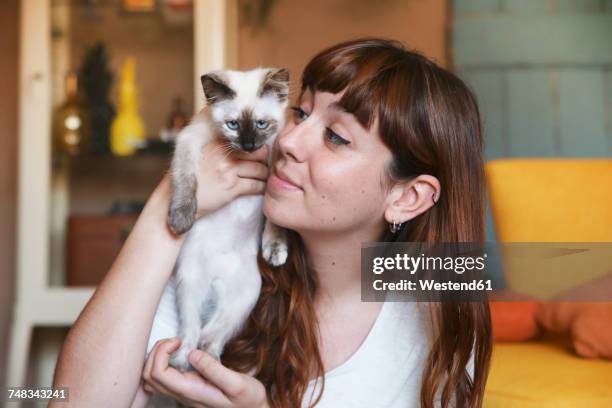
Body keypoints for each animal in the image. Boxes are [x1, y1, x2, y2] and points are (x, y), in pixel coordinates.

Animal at [149, 67, 292, 370]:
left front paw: (275, 249)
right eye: (233, 125)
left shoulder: (276, 165)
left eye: (261, 124)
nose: (249, 145)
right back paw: (182, 362)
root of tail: (216, 280)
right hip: (189, 286)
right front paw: (181, 219)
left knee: (212, 336)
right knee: (193, 332)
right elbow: (186, 181)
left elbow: (275, 218)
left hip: (247, 295)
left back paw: (209, 362)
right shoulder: (189, 141)